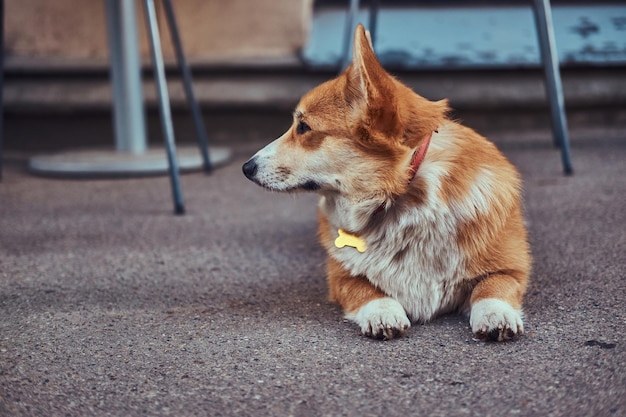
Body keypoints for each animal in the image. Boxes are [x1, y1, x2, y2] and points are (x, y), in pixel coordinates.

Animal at [241, 23, 528, 342]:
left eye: (303, 127)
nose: (246, 168)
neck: (400, 198)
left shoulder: (511, 268)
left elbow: (493, 286)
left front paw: (496, 315)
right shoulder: (341, 276)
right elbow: (368, 290)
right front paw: (383, 314)